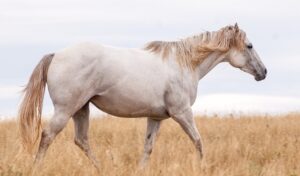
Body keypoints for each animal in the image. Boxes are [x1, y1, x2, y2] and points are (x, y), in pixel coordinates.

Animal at [18, 23, 268, 168]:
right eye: (249, 46)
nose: (263, 72)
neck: (184, 64)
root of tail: (56, 55)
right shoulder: (182, 113)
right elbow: (198, 141)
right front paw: (203, 168)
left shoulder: (155, 118)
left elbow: (148, 147)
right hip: (66, 109)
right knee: (47, 136)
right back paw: (36, 169)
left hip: (81, 109)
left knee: (81, 140)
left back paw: (102, 169)